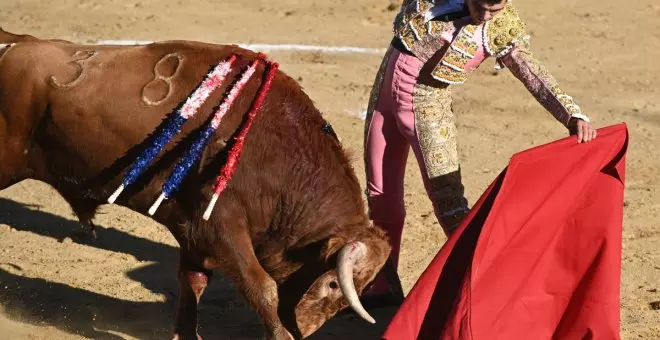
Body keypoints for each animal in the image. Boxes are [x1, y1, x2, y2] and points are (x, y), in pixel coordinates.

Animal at [0, 29, 392, 340]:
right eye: (332, 284)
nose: (304, 329)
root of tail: (16, 42)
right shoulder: (219, 226)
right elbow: (262, 288)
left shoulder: (191, 230)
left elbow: (193, 282)